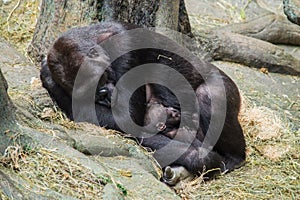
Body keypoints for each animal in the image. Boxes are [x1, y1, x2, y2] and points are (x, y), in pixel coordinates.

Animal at [40, 21, 246, 185]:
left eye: (102, 82)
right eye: (96, 94)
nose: (107, 96)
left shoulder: (126, 48)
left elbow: (128, 120)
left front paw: (202, 159)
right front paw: (198, 158)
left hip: (227, 86)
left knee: (208, 95)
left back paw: (234, 158)